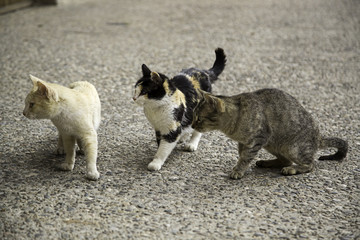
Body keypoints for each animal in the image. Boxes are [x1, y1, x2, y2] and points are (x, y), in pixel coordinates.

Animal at [193, 88, 348, 178]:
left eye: (199, 118)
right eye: (194, 117)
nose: (193, 125)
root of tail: (318, 137)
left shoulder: (258, 138)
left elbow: (245, 157)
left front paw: (239, 170)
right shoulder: (244, 142)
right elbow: (242, 154)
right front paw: (239, 166)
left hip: (293, 147)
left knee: (310, 164)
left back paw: (292, 169)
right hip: (272, 144)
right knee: (285, 160)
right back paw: (266, 162)